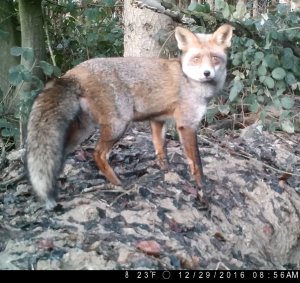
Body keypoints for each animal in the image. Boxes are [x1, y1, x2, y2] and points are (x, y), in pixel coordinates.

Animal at [25, 24, 233, 210]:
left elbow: (160, 149)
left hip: (84, 129)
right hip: (118, 124)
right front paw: (202, 192)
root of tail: (73, 72)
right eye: (196, 59)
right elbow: (197, 164)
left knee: (59, 153)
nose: (207, 73)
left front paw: (165, 170)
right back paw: (117, 182)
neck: (189, 79)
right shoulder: (187, 124)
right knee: (97, 153)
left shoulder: (158, 119)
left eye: (215, 58)